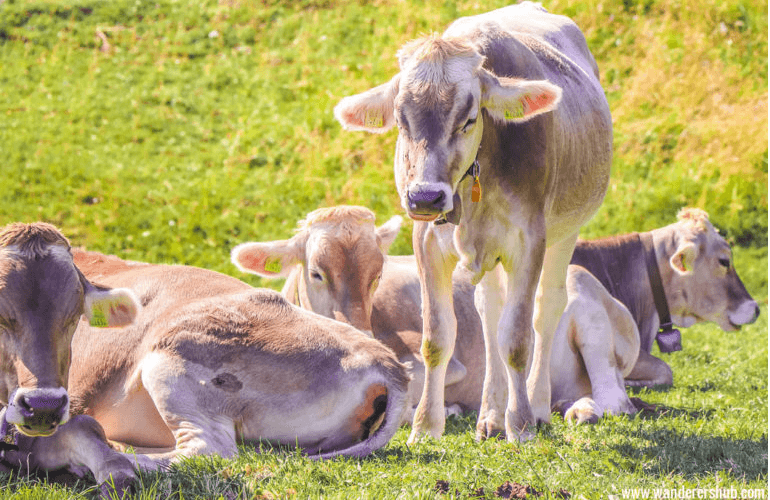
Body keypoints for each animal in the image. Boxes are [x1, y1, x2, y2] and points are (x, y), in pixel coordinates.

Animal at [231, 207, 760, 426]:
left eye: (377, 272)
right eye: (316, 273)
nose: (360, 333)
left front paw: (447, 410)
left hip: (587, 315)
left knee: (616, 399)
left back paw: (580, 410)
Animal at [332, 2, 608, 442]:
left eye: (469, 118)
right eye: (401, 121)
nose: (425, 196)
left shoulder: (530, 241)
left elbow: (516, 337)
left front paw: (521, 424)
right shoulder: (426, 241)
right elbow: (438, 338)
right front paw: (426, 426)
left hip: (566, 232)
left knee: (546, 311)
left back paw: (536, 407)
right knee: (489, 312)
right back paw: (490, 415)